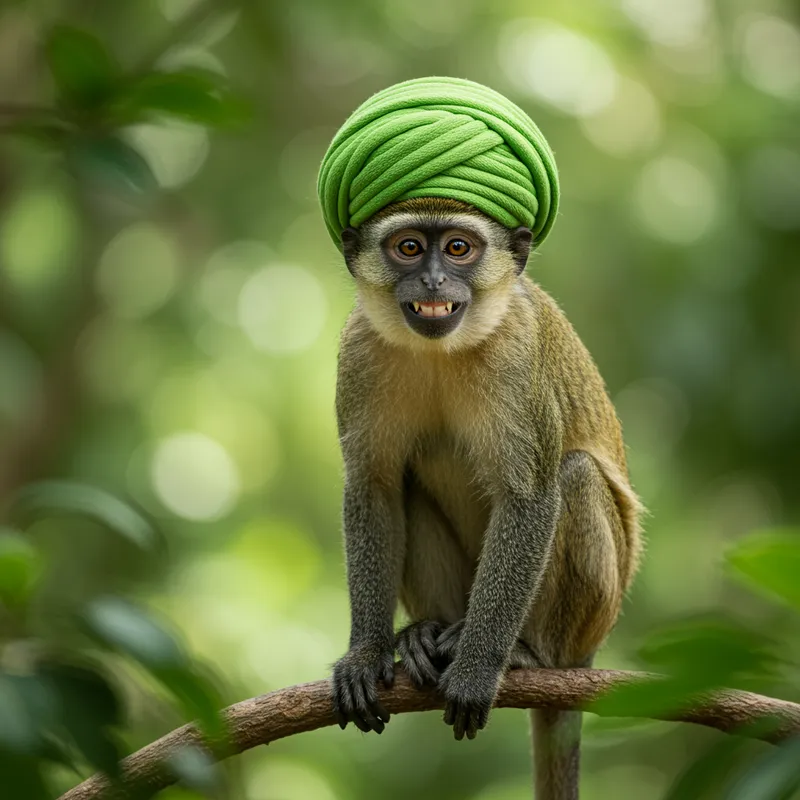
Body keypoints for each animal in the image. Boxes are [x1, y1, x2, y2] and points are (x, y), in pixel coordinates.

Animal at [329, 196, 642, 800]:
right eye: (408, 247)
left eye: (458, 248)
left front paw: (478, 666)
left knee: (574, 475)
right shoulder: (357, 353)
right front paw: (365, 653)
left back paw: (527, 653)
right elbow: (374, 491)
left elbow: (530, 498)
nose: (432, 280)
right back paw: (426, 635)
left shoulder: (518, 355)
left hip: (591, 616)